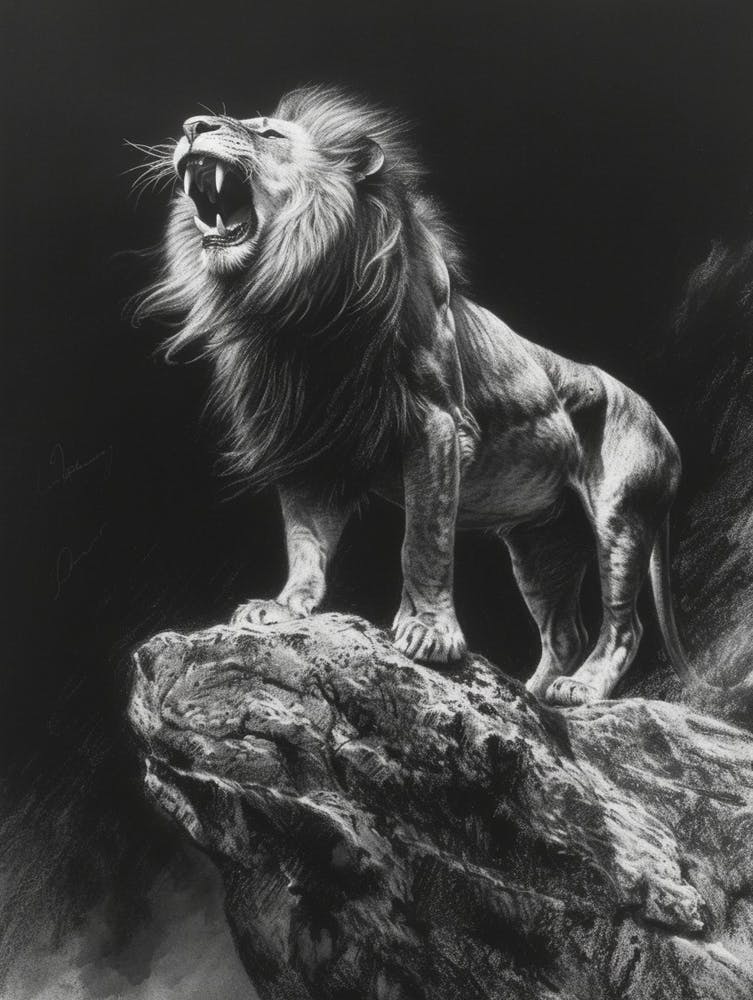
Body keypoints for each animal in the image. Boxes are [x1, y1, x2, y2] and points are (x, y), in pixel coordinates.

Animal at [135, 85, 694, 706]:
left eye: (269, 133)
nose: (192, 126)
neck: (298, 305)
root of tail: (664, 427)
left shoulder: (436, 424)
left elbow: (424, 540)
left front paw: (428, 633)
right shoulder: (309, 449)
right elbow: (304, 539)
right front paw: (283, 608)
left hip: (623, 517)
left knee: (625, 625)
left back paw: (581, 691)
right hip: (544, 543)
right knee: (563, 631)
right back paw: (529, 695)